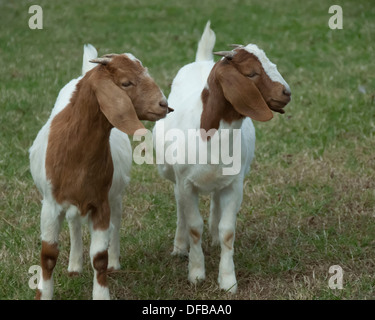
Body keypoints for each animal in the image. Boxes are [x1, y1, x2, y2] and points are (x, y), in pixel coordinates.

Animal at [30, 43, 173, 298]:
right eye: (126, 83)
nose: (163, 105)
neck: (75, 158)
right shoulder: (50, 204)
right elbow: (48, 255)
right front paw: (44, 293)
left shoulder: (100, 203)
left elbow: (99, 257)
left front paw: (101, 292)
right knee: (74, 223)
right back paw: (74, 266)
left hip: (115, 196)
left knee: (115, 223)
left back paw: (114, 263)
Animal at [153, 21, 290, 294]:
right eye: (251, 73)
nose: (287, 92)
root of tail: (201, 59)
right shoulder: (186, 183)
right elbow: (194, 227)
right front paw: (196, 274)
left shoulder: (234, 184)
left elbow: (228, 231)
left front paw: (227, 281)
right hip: (173, 175)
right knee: (179, 206)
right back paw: (179, 246)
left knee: (215, 201)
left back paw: (213, 238)